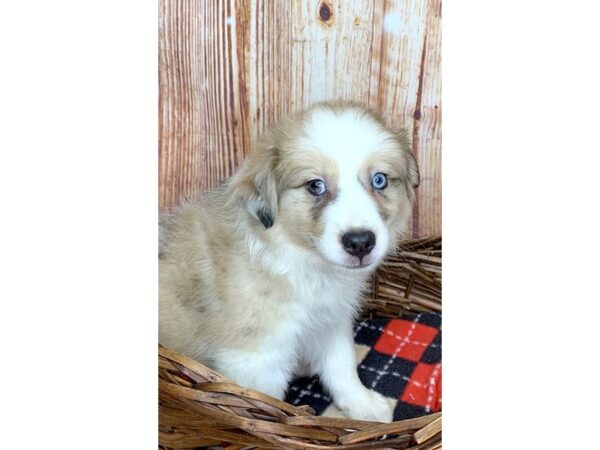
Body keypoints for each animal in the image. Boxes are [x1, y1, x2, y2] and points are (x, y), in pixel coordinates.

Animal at [159, 101, 422, 422]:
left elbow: (342, 366)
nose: (360, 242)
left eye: (379, 180)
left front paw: (363, 406)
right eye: (315, 185)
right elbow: (265, 403)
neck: (304, 263)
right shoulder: (256, 357)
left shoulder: (332, 321)